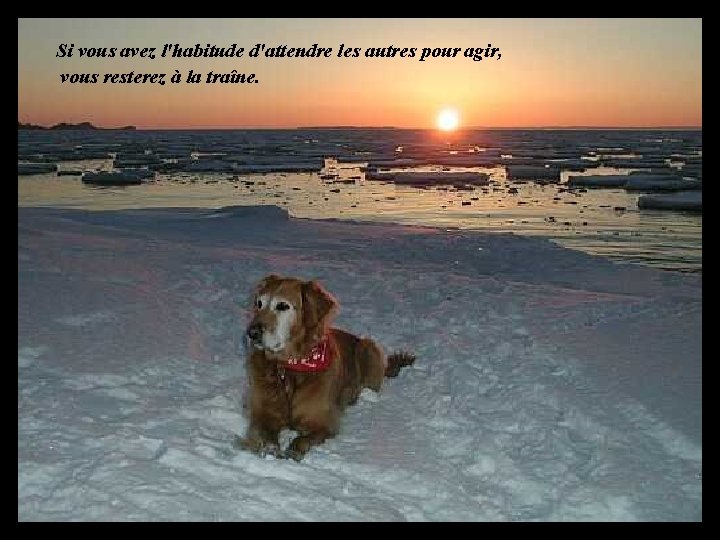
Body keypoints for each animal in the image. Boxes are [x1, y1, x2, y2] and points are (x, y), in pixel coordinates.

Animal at [236, 274, 416, 460]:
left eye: (282, 306)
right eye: (259, 303)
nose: (252, 333)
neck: (291, 367)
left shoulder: (322, 422)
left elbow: (301, 439)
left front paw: (292, 453)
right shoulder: (262, 414)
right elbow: (265, 435)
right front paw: (270, 450)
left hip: (368, 346)